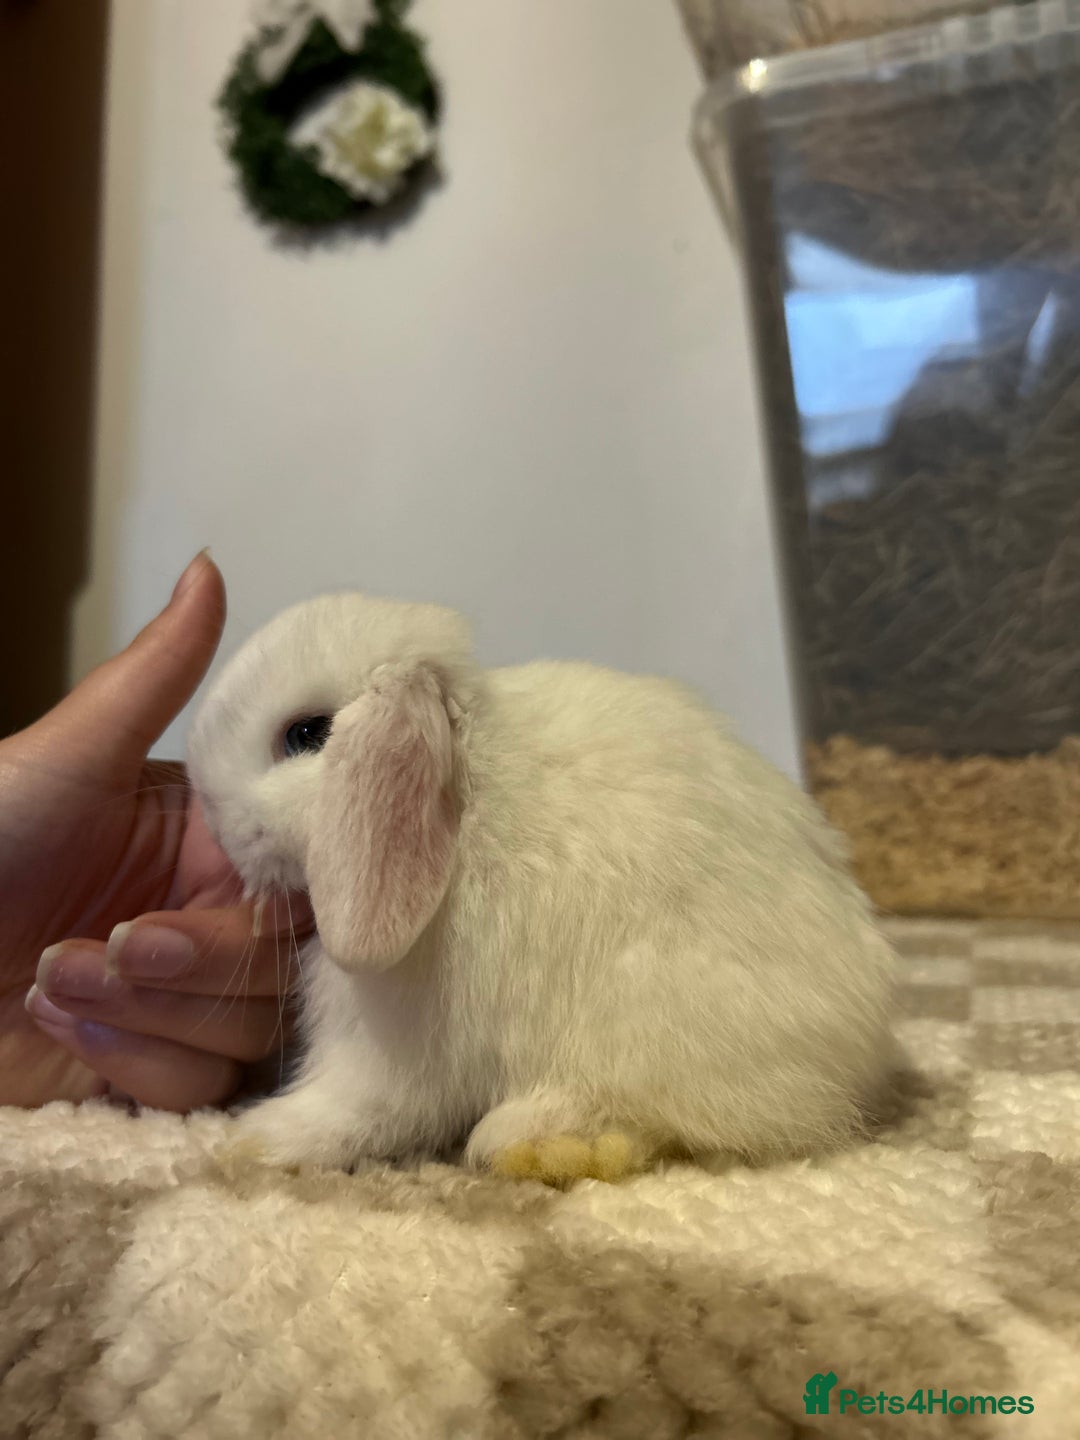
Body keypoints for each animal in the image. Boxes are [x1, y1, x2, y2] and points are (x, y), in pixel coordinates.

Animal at [187, 591, 898, 1183]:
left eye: (306, 734)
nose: (216, 824)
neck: (468, 791)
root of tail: (863, 1042)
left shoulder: (392, 1054)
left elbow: (352, 1109)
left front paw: (249, 1141)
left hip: (652, 1030)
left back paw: (541, 1145)